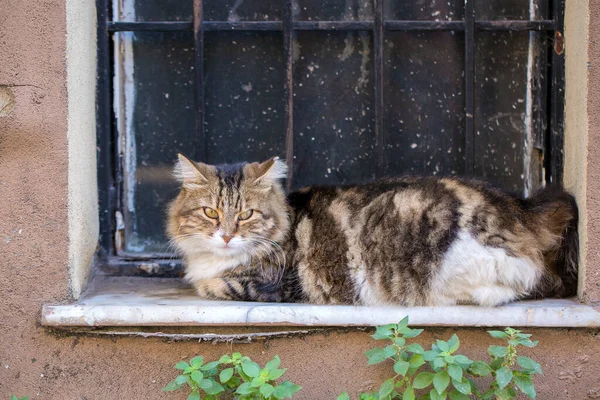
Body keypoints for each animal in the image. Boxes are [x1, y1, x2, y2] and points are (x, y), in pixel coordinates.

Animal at [166, 153, 580, 306]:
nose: (226, 236)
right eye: (210, 212)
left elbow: (210, 285)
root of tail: (520, 209)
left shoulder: (270, 284)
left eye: (247, 214)